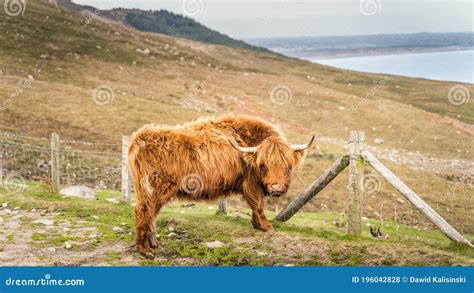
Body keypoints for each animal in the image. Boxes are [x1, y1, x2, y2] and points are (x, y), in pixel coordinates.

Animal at [128, 114, 314, 258]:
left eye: (287, 165)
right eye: (263, 165)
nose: (276, 188)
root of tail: (139, 137)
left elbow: (255, 205)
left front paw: (257, 224)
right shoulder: (251, 182)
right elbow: (258, 204)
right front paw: (266, 226)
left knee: (150, 212)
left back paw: (153, 243)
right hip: (155, 187)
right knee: (143, 211)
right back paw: (145, 250)